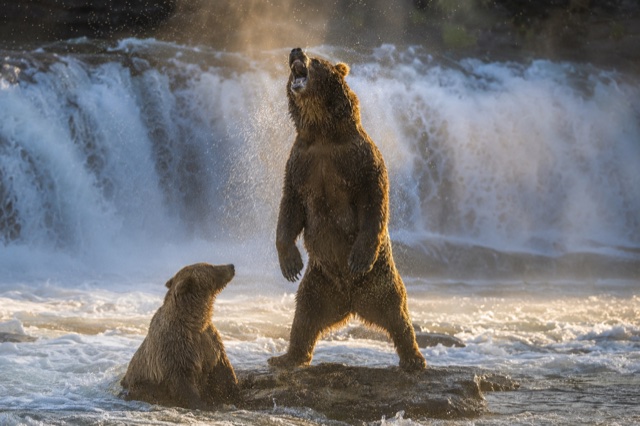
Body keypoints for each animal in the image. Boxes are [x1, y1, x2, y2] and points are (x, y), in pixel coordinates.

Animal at [121, 263, 239, 409]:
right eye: (211, 266)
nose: (231, 266)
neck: (195, 322)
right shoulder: (176, 349)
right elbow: (182, 383)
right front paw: (202, 404)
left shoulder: (209, 341)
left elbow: (223, 370)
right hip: (142, 385)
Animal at [268, 48, 427, 372]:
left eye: (317, 60)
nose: (295, 50)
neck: (323, 133)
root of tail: (351, 303)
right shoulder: (300, 164)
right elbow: (290, 208)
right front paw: (289, 263)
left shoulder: (360, 159)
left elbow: (374, 201)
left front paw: (357, 257)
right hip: (318, 282)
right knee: (304, 316)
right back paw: (286, 357)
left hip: (380, 280)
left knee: (397, 314)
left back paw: (414, 358)